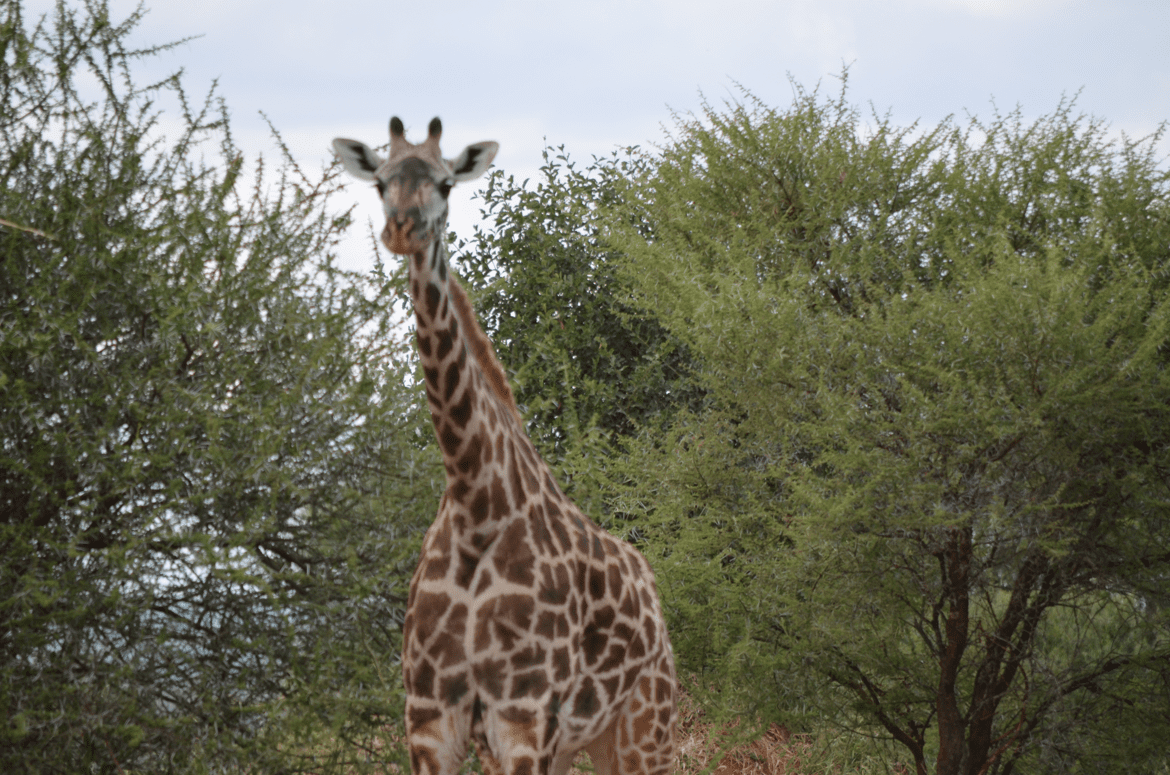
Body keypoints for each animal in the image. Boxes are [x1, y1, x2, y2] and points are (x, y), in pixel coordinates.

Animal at [332, 118, 677, 775]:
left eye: (445, 183)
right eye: (381, 182)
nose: (402, 229)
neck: (475, 503)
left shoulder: (524, 716)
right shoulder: (432, 719)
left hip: (646, 725)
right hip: (579, 741)